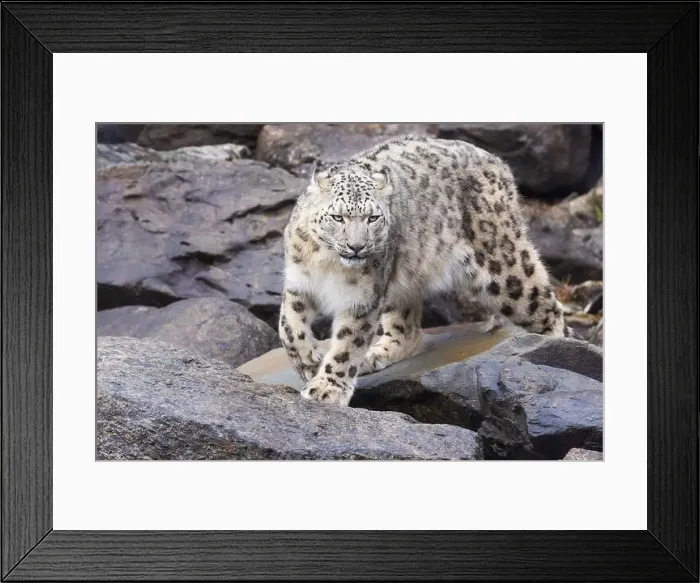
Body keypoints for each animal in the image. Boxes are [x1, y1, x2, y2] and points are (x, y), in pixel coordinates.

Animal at [278, 135, 568, 406]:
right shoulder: (299, 283)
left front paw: (327, 388)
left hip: (503, 268)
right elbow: (288, 325)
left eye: (373, 218)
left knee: (547, 306)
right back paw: (376, 355)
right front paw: (307, 361)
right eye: (337, 217)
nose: (357, 247)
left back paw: (554, 352)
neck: (328, 264)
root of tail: (497, 162)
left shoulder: (363, 297)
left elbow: (348, 344)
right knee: (408, 330)